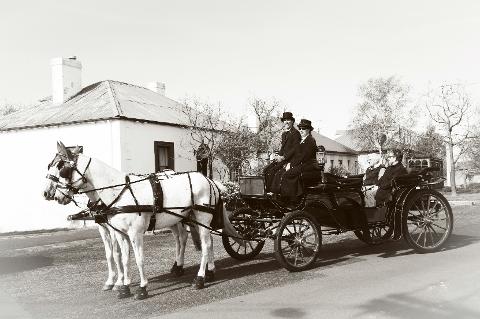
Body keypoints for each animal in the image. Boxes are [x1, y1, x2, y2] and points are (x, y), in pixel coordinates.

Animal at [43, 142, 242, 300]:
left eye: (61, 169)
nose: (50, 194)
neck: (119, 192)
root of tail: (208, 180)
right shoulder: (119, 233)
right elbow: (122, 258)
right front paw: (123, 287)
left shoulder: (134, 233)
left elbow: (138, 259)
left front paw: (141, 288)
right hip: (186, 218)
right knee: (195, 241)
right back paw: (207, 271)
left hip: (202, 217)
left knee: (205, 244)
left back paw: (199, 278)